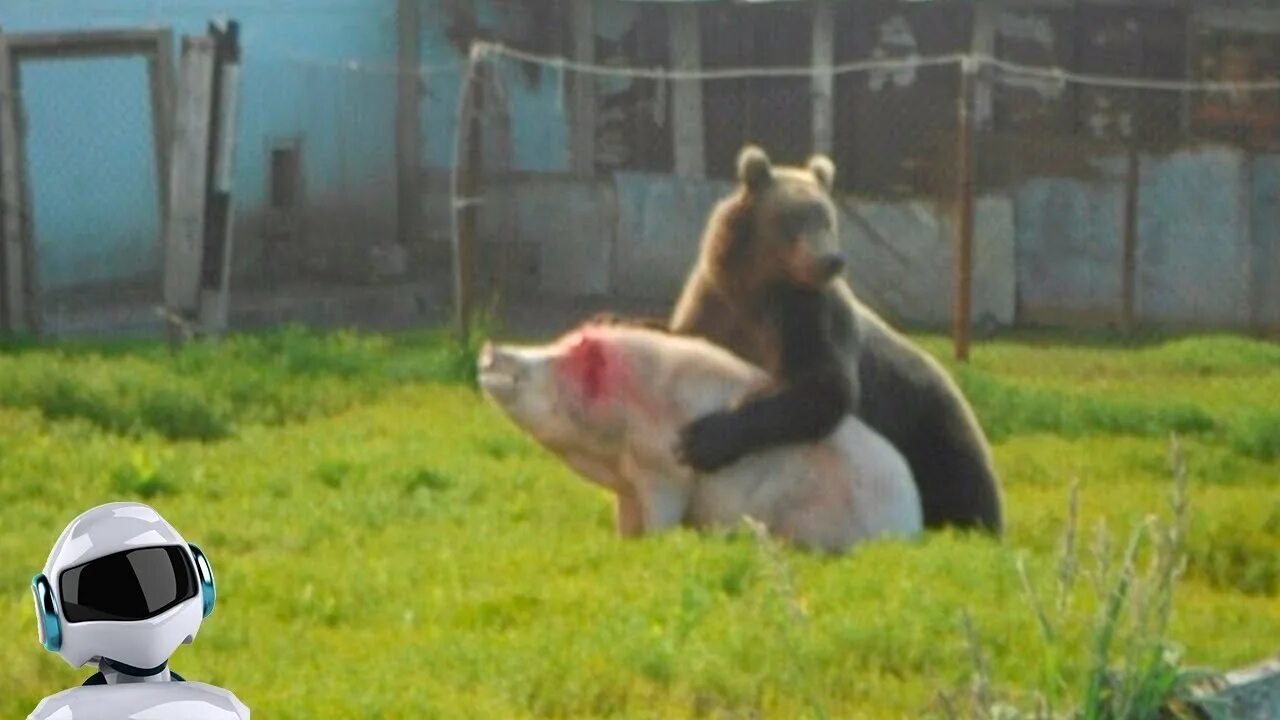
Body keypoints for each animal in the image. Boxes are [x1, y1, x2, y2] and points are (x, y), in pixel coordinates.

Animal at [596, 144, 998, 532]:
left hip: (928, 428)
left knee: (961, 484)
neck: (757, 287)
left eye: (828, 219)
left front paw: (701, 440)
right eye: (797, 219)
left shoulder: (806, 317)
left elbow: (820, 387)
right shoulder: (716, 302)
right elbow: (686, 334)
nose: (832, 260)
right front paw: (613, 318)